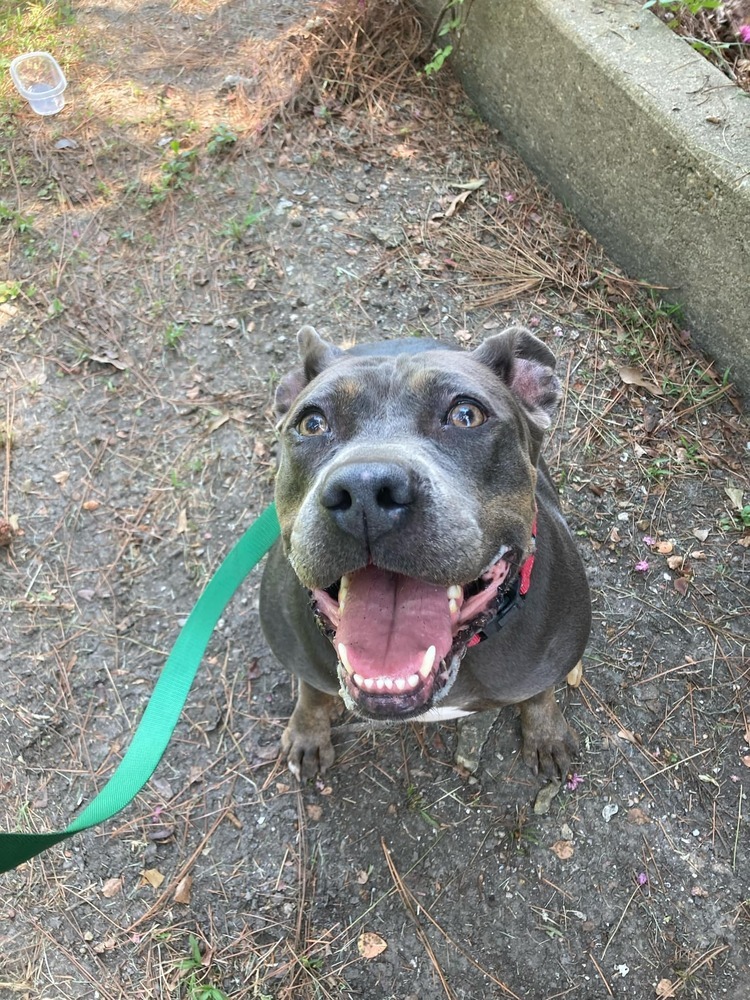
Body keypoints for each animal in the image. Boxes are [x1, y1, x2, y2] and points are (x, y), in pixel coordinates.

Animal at [260, 326, 592, 780]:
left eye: (466, 415)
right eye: (312, 423)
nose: (365, 489)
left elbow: (539, 693)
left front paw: (545, 732)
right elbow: (310, 689)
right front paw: (308, 731)